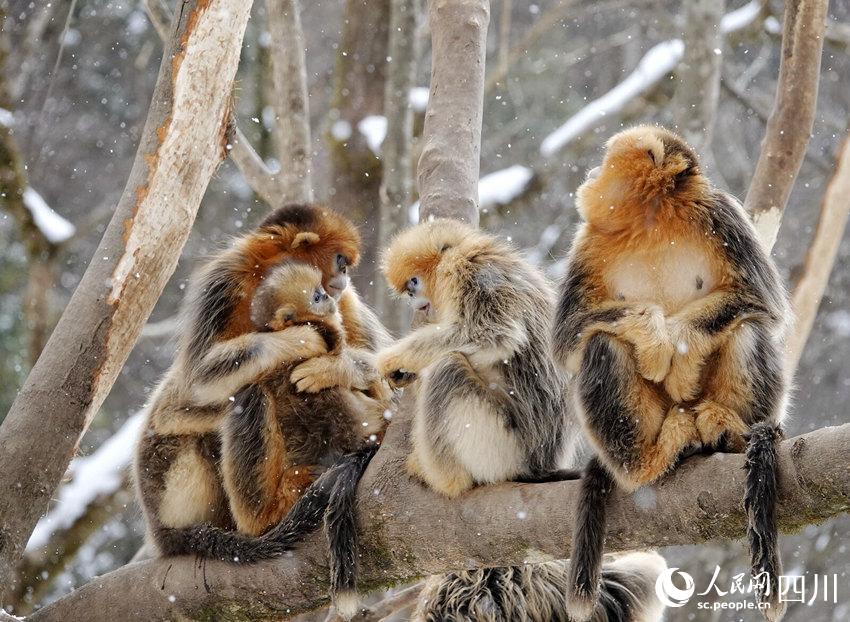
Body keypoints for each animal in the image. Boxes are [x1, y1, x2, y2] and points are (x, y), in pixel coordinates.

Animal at [552, 127, 792, 622]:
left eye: (606, 159)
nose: (591, 172)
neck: (653, 222)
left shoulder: (721, 215)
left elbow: (763, 304)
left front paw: (677, 349)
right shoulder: (589, 243)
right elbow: (568, 337)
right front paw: (655, 339)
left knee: (749, 327)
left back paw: (727, 431)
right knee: (601, 345)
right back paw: (650, 460)